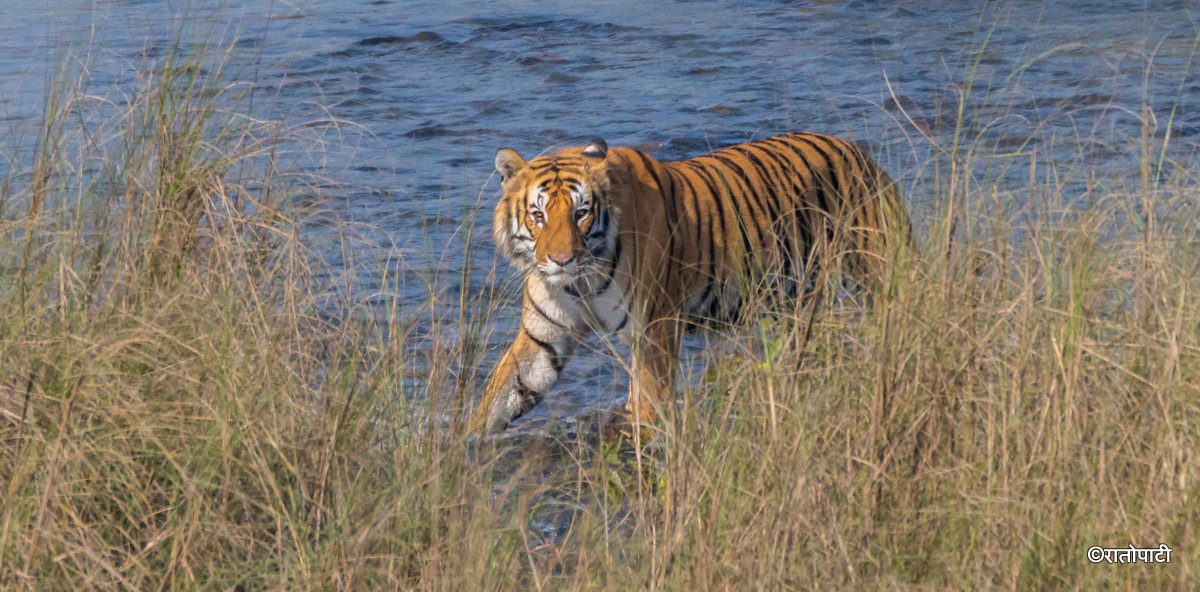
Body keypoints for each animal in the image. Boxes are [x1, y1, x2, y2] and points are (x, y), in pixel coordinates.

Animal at [467, 132, 910, 435]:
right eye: (539, 215)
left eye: (581, 213)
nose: (562, 260)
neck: (581, 282)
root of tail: (859, 153)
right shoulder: (544, 337)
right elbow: (501, 394)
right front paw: (461, 448)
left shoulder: (655, 329)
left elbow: (647, 402)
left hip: (880, 269)